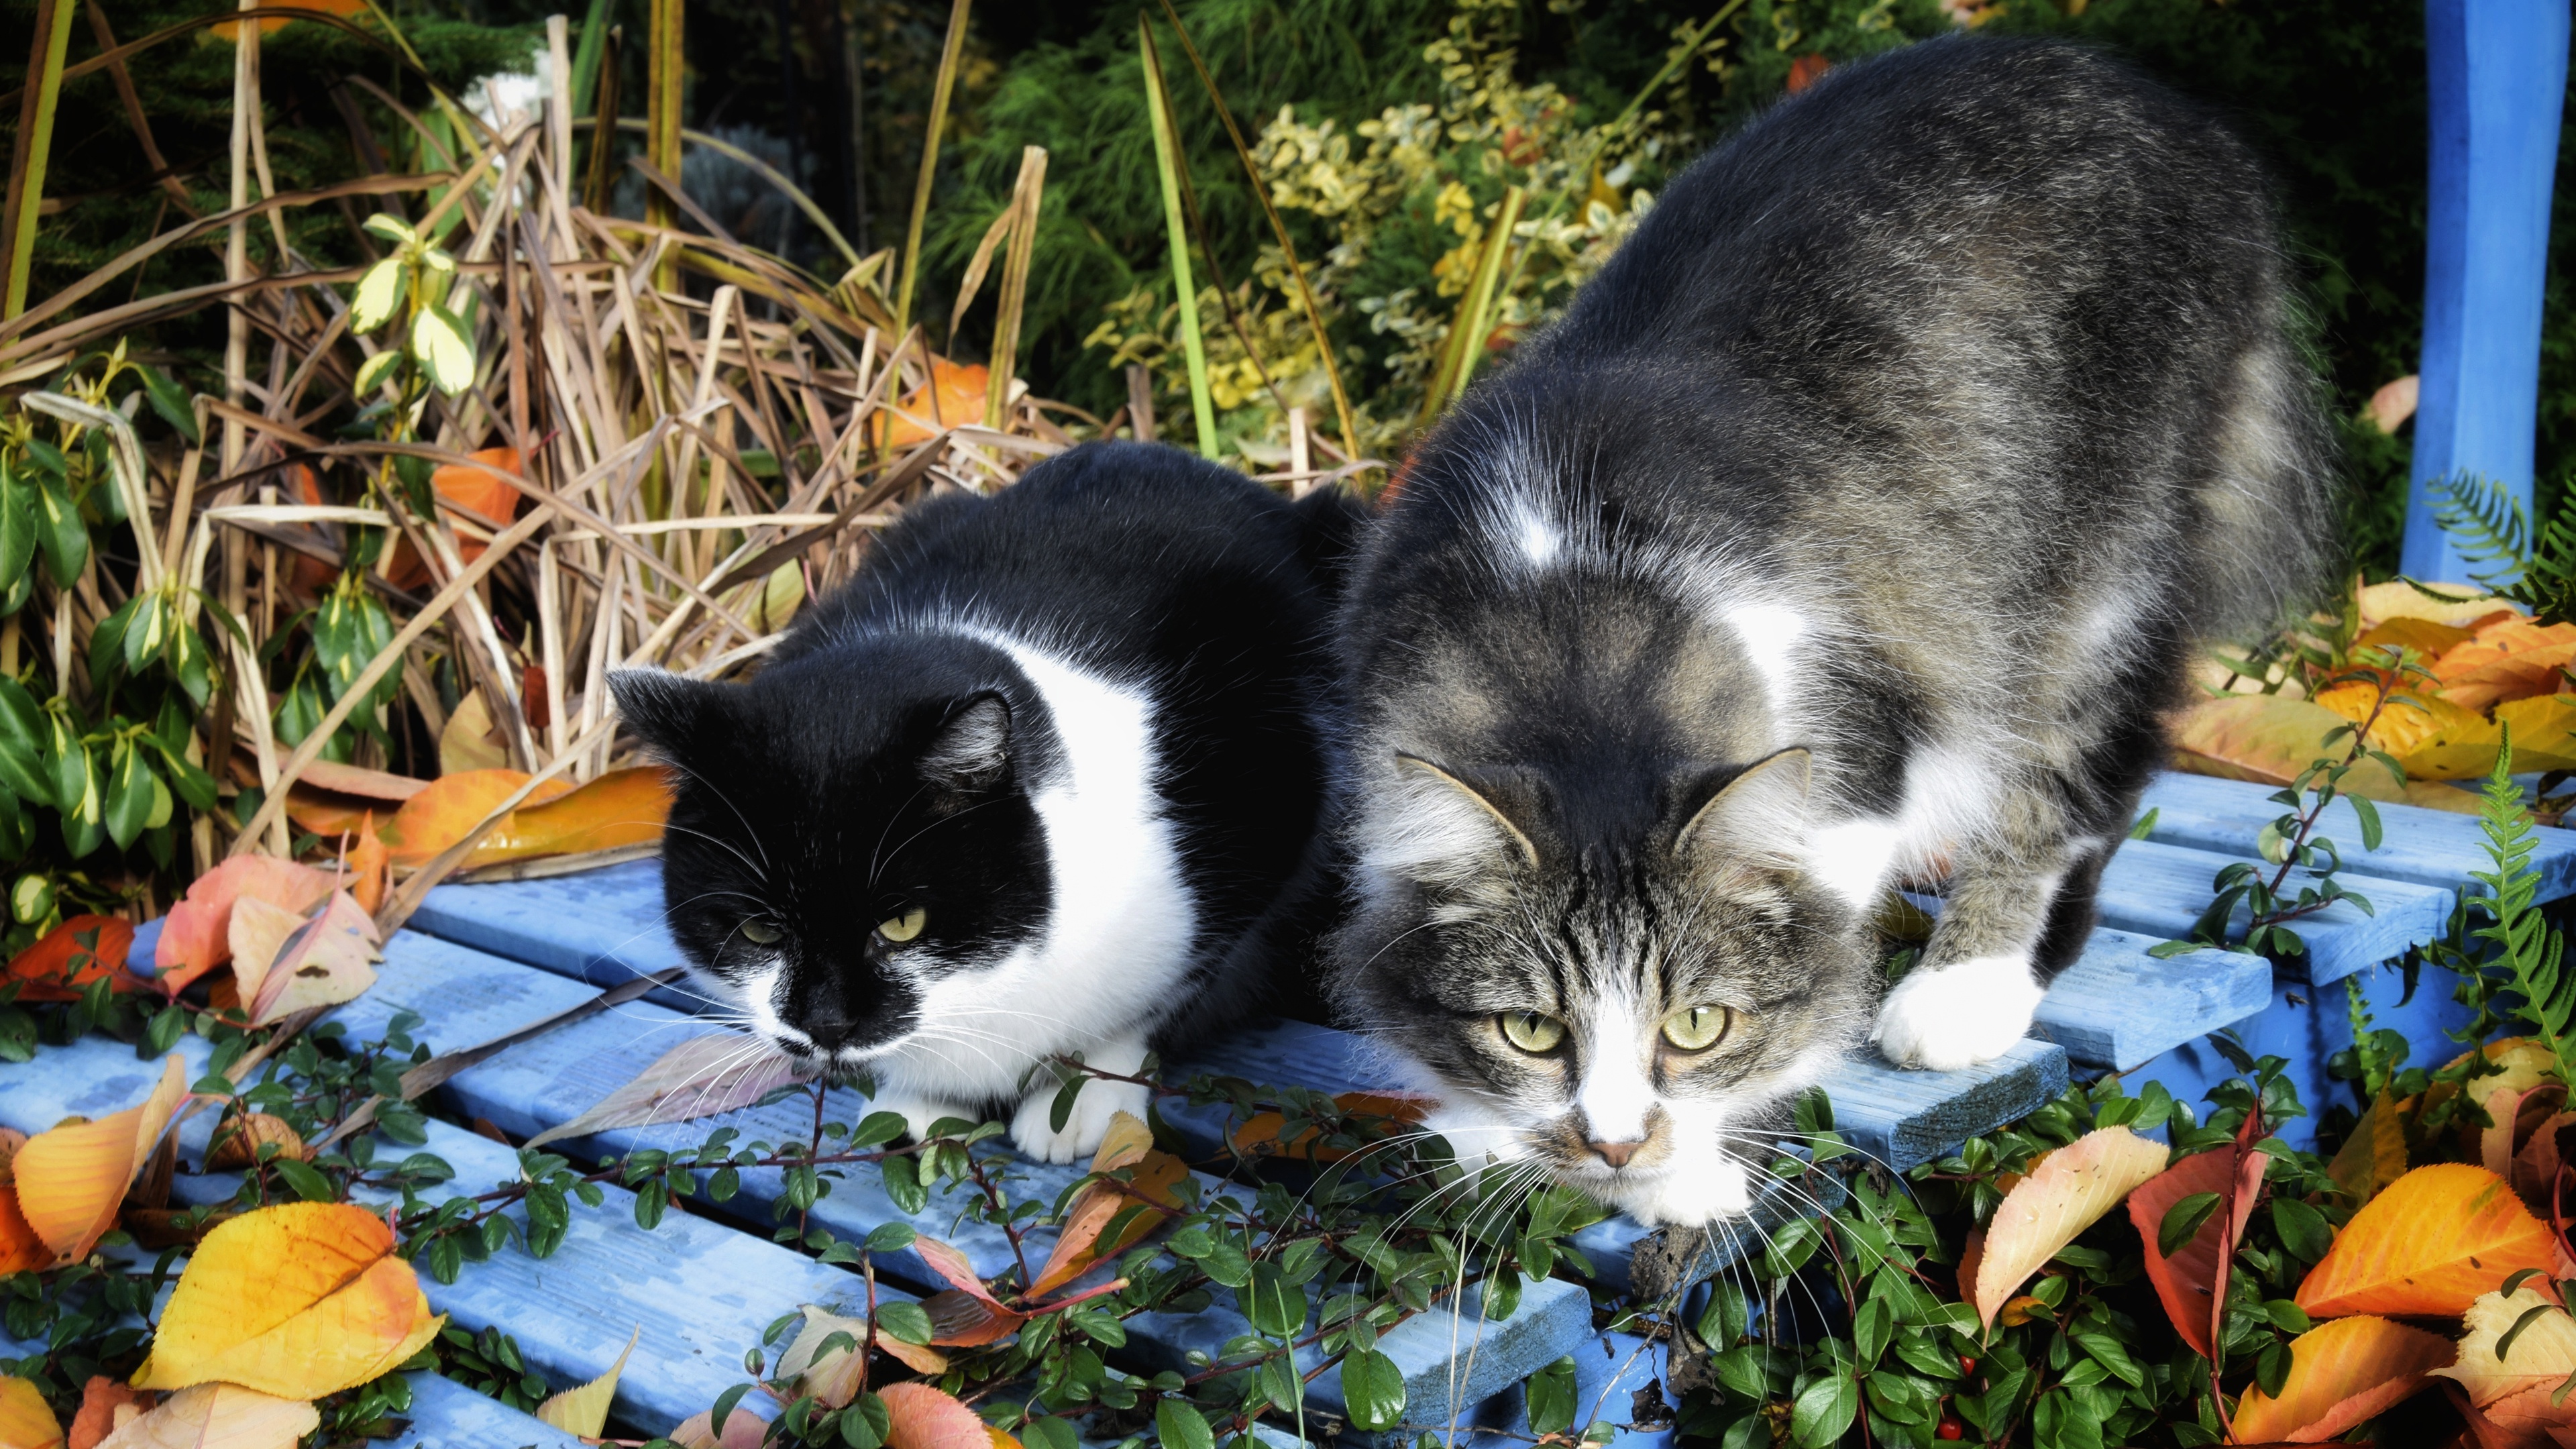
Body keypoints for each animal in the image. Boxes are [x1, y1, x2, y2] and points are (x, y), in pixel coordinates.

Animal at [615, 441, 1360, 1160]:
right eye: (760, 931)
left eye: (903, 924)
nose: (826, 1024)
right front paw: (919, 1099)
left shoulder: (1263, 818)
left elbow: (1163, 997)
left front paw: (1084, 1093)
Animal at [1329, 36, 2339, 1217]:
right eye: (1531, 1031)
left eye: (1690, 1022)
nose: (1615, 1146)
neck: (1574, 614)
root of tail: (2160, 99)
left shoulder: (1861, 747)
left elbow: (1798, 979)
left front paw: (1688, 1167)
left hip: (2092, 569)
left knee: (2078, 773)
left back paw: (1972, 981)